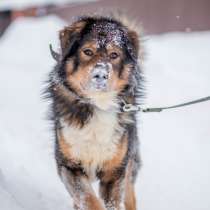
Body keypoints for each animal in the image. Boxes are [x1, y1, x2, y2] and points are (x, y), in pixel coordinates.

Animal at [46, 15, 144, 209]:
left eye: (114, 55)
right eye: (88, 52)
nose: (100, 75)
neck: (98, 105)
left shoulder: (115, 171)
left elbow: (112, 202)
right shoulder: (69, 165)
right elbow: (88, 198)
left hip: (131, 162)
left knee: (130, 196)